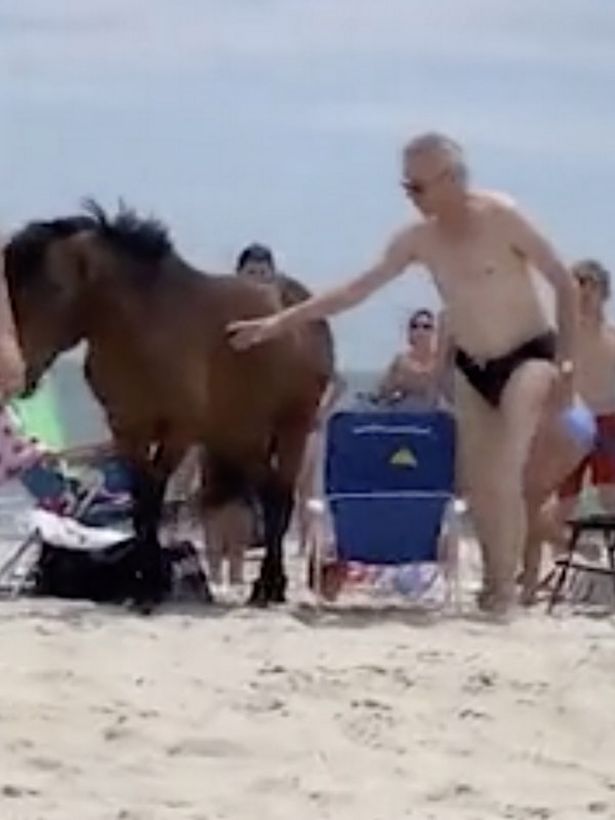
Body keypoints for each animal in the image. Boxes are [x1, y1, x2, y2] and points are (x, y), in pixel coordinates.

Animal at [4, 200, 334, 608]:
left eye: (52, 287)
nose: (18, 373)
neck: (144, 324)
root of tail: (300, 301)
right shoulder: (127, 428)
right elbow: (141, 505)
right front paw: (143, 583)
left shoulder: (179, 430)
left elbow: (153, 500)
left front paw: (148, 586)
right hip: (239, 435)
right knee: (270, 494)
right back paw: (272, 585)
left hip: (293, 426)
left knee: (282, 496)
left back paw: (267, 586)